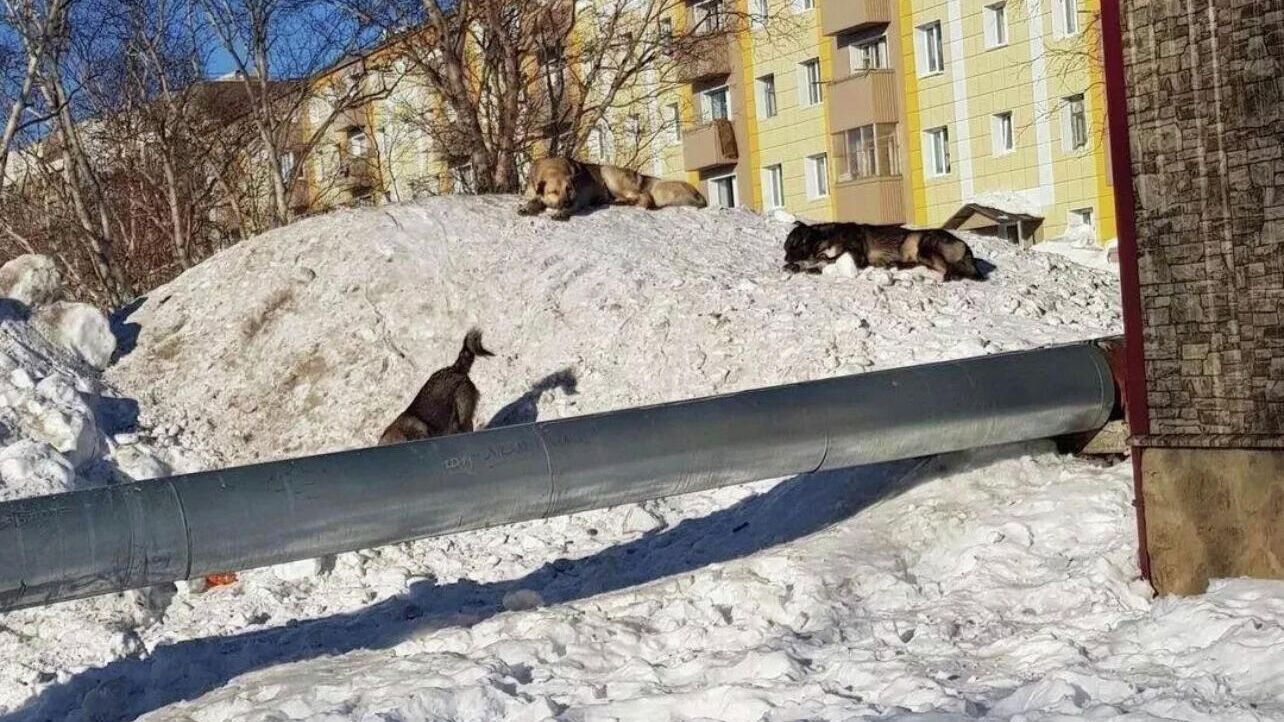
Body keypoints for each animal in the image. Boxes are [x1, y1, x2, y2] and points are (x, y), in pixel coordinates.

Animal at [516, 158, 708, 220]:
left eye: (569, 189)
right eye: (554, 192)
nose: (566, 202)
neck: (553, 168)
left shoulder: (578, 200)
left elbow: (572, 207)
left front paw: (562, 212)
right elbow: (533, 201)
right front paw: (527, 207)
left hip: (607, 173)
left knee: (645, 197)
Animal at [780, 218, 980, 280]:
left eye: (796, 244)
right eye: (786, 247)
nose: (785, 259)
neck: (825, 238)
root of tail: (966, 247)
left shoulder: (856, 254)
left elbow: (826, 259)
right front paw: (796, 267)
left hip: (924, 245)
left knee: (950, 268)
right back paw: (895, 264)